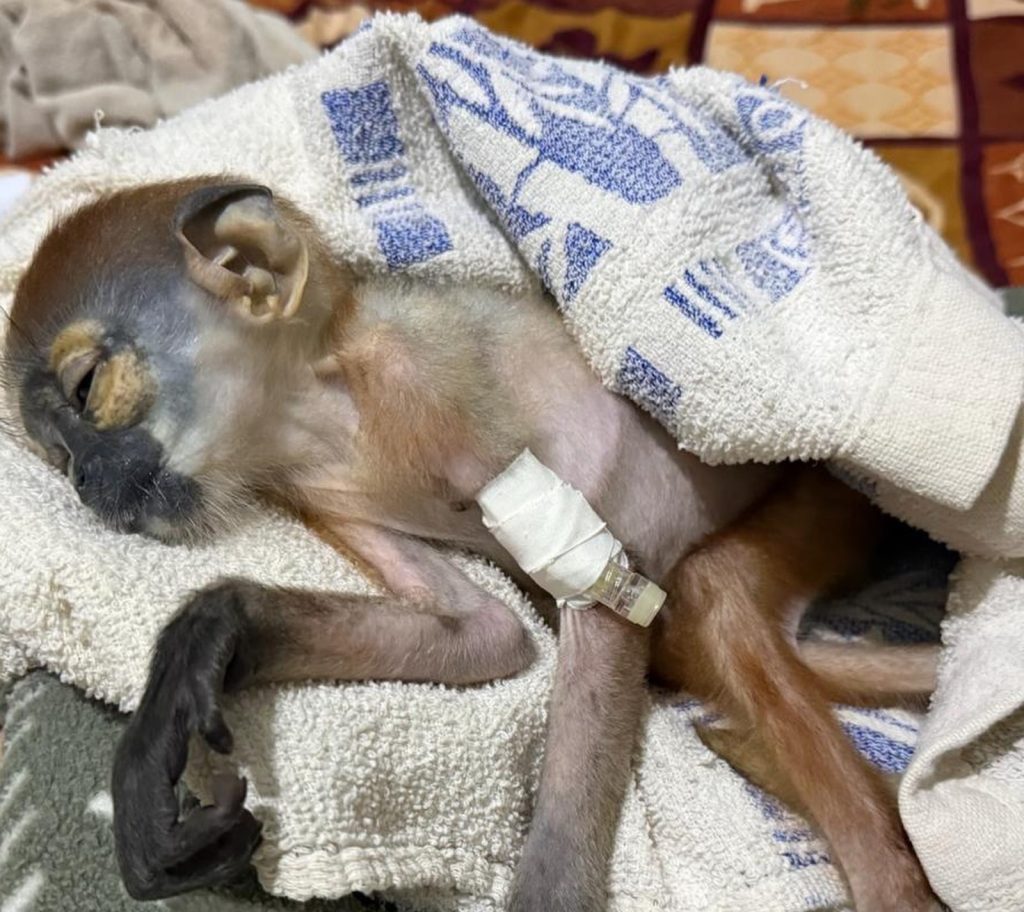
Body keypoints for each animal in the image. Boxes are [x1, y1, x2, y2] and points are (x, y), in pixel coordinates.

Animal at [1, 178, 943, 912]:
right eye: (57, 455)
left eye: (87, 389)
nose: (86, 483)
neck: (328, 414)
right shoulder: (311, 490)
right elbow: (487, 636)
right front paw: (200, 652)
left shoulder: (428, 388)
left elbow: (602, 595)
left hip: (825, 501)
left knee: (710, 599)